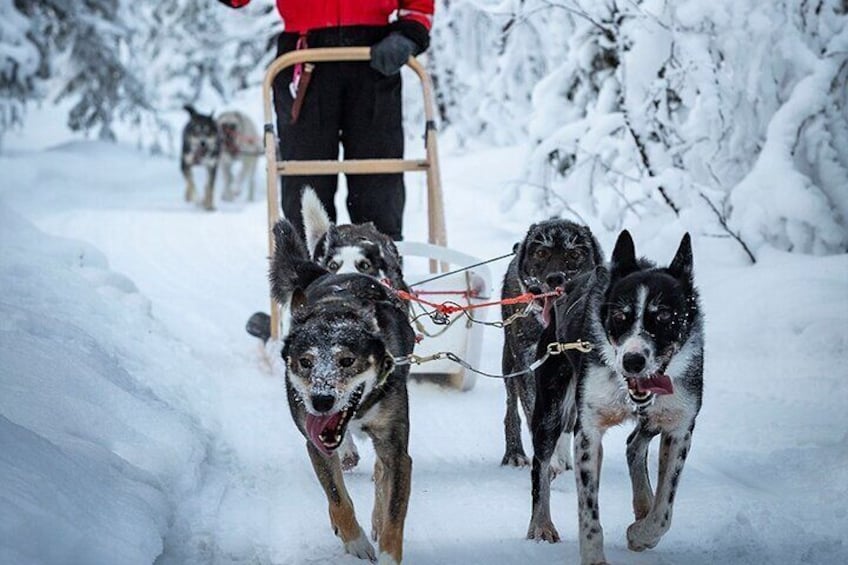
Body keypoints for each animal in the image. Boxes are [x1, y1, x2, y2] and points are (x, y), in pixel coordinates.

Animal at [270, 217, 416, 564]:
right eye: (305, 362)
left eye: (347, 360)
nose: (321, 401)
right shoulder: (317, 444)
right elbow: (337, 499)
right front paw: (356, 541)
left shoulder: (396, 450)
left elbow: (393, 513)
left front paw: (386, 550)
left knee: (380, 476)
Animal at [500, 218, 608, 470]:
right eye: (541, 252)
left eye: (575, 254)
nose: (555, 278)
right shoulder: (528, 363)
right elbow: (533, 409)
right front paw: (550, 459)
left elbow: (568, 418)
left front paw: (561, 456)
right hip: (509, 363)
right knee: (511, 407)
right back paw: (515, 452)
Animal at [528, 230, 704, 564]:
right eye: (620, 316)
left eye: (664, 316)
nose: (633, 361)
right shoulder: (588, 432)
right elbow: (589, 514)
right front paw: (594, 557)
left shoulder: (680, 429)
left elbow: (664, 511)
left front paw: (641, 534)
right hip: (549, 414)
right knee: (539, 468)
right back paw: (541, 524)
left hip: (655, 420)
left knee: (634, 444)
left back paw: (643, 503)